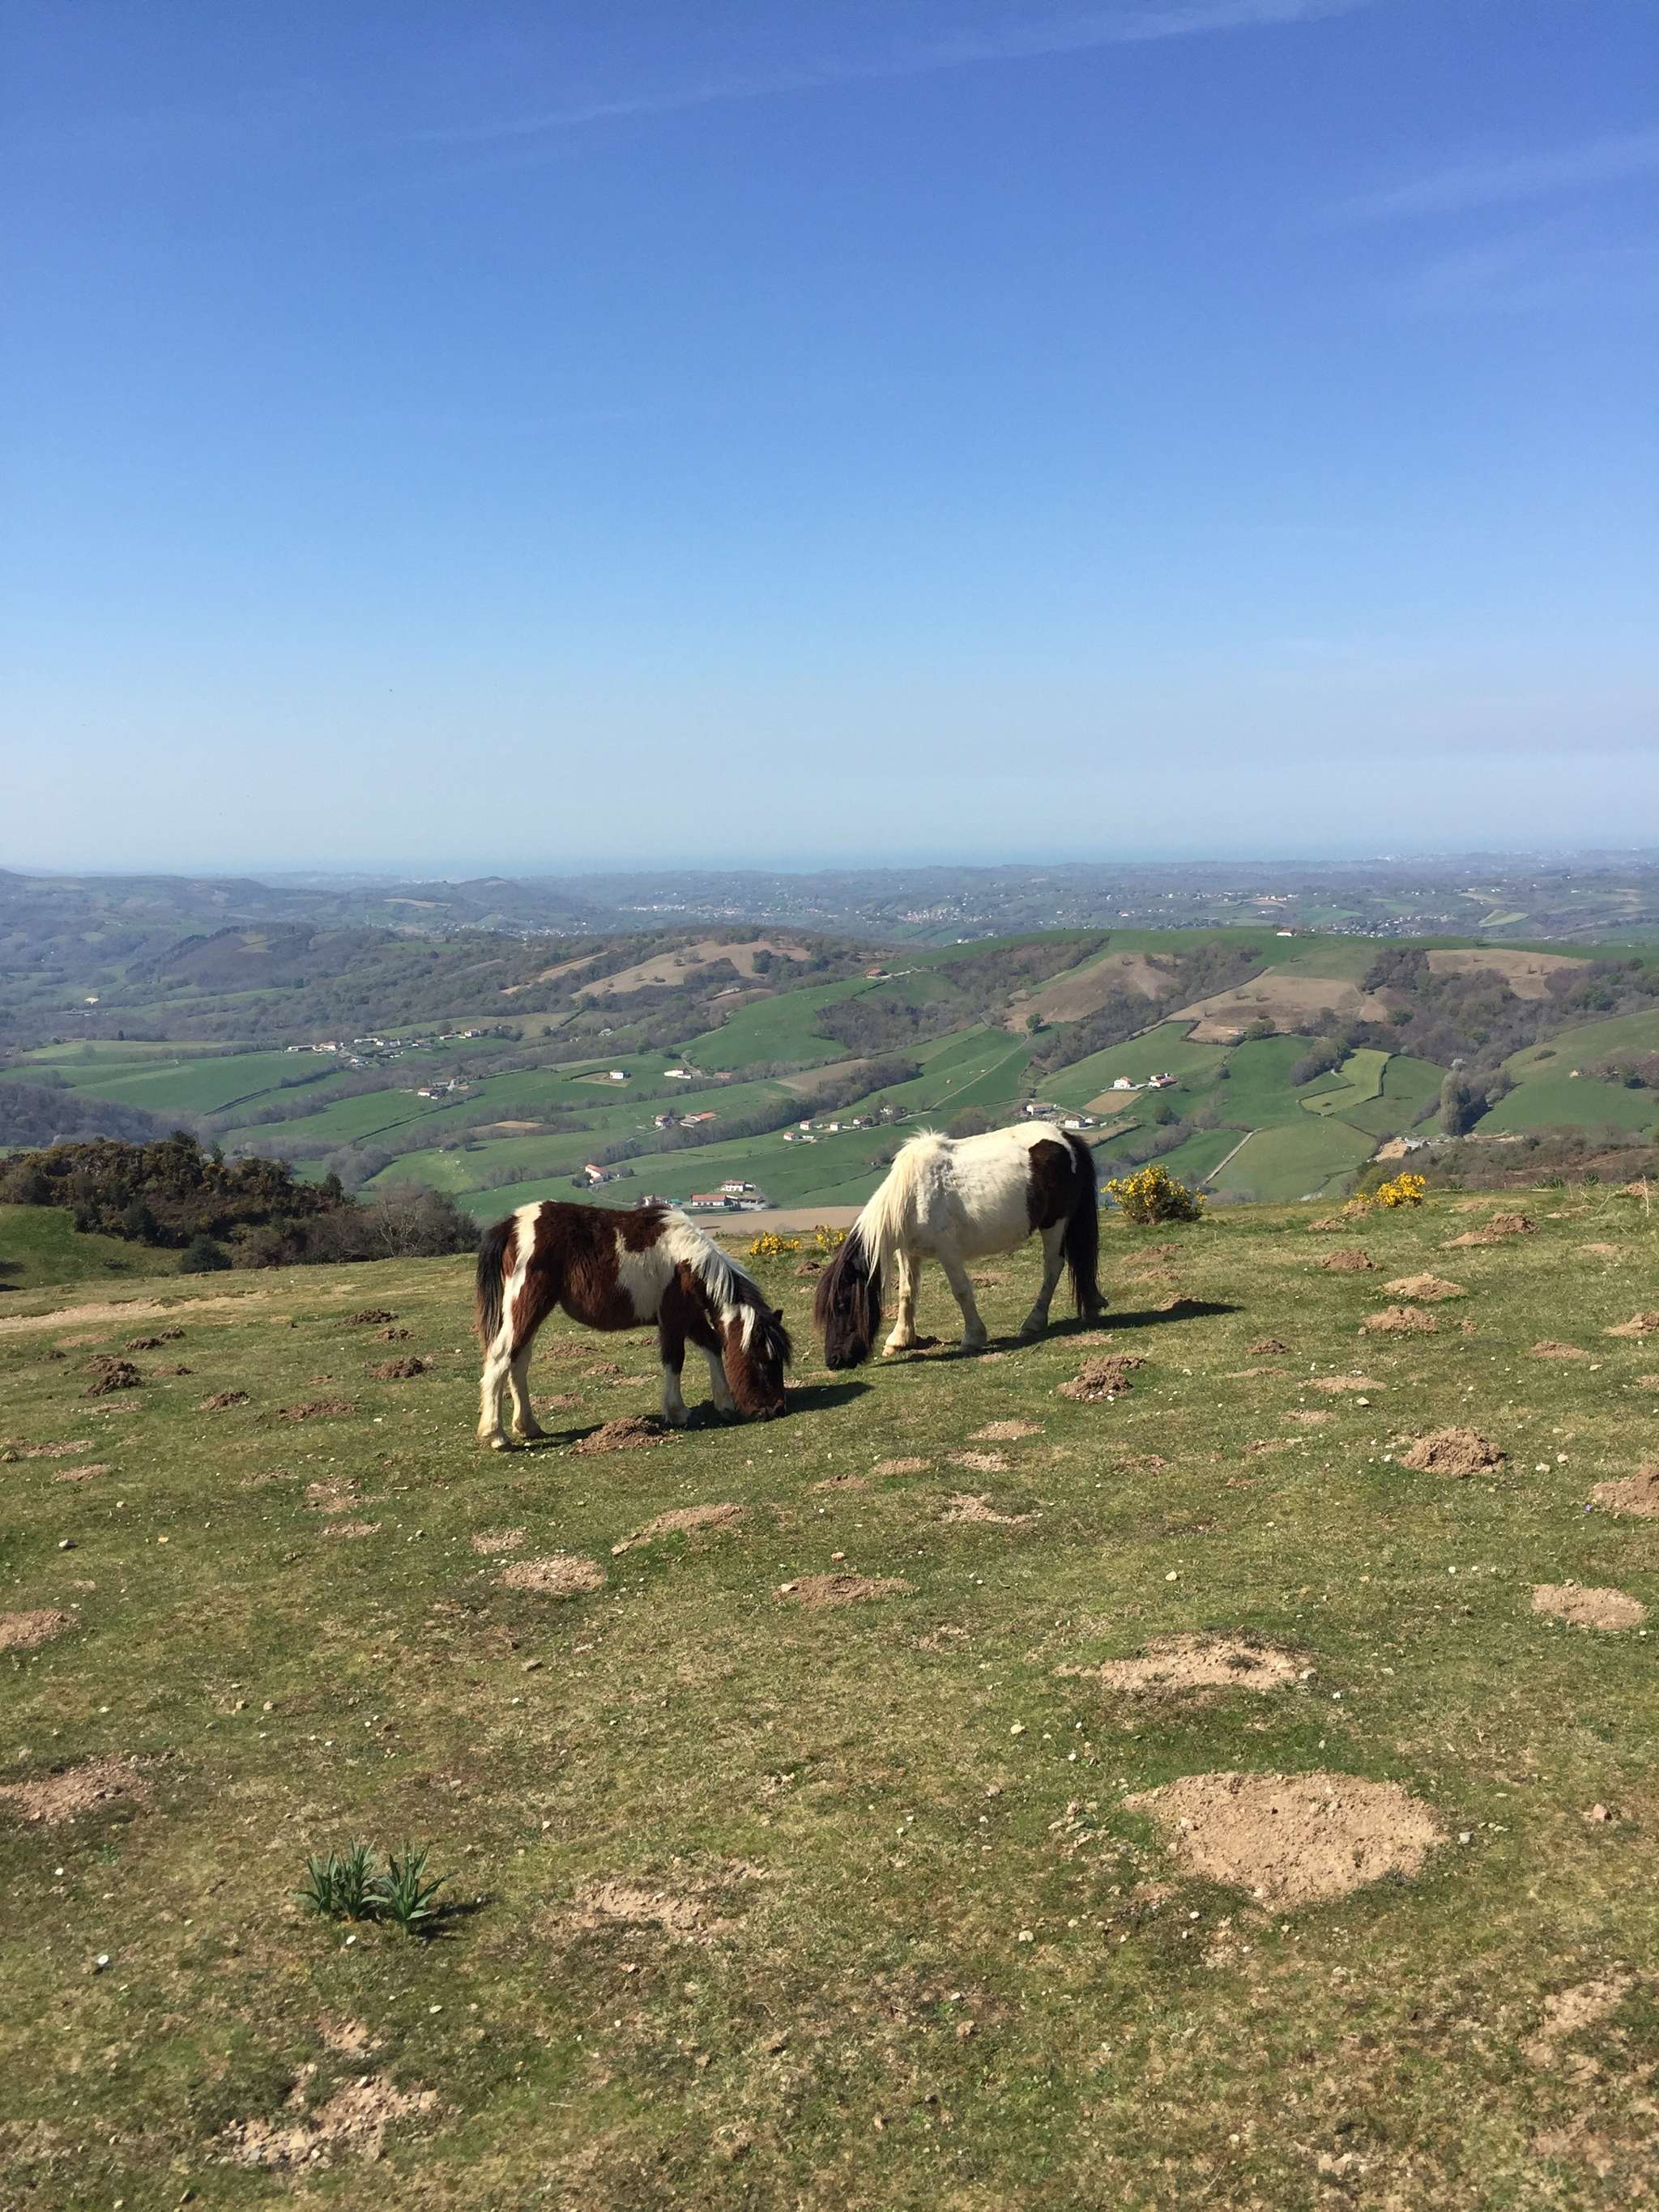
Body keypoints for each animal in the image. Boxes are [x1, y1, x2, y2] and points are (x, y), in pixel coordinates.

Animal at [475, 1199, 792, 1448]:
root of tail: (512, 1225)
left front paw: (724, 1403)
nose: (776, 1409)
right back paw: (496, 1435)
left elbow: (713, 1345)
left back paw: (527, 1426)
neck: (687, 1261)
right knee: (502, 1357)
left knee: (518, 1362)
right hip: (526, 1305)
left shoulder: (690, 1316)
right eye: (763, 1361)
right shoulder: (674, 1318)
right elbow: (674, 1359)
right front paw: (677, 1412)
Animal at [814, 1121, 1105, 1369]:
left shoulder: (948, 1253)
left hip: (1055, 1224)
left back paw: (1033, 1322)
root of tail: (1066, 1138)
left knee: (1052, 1267)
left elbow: (962, 1291)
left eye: (842, 1305)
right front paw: (899, 1340)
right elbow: (907, 1293)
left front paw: (973, 1338)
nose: (834, 1360)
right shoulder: (908, 1253)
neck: (913, 1195)